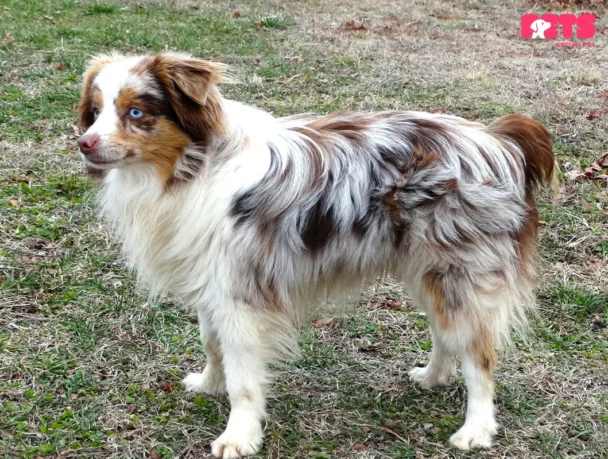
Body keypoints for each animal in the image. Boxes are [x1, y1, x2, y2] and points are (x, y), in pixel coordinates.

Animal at [77, 52, 556, 458]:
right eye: (96, 112)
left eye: (136, 113)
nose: (83, 143)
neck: (194, 166)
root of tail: (500, 142)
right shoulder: (213, 283)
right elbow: (212, 344)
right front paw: (209, 383)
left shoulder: (242, 295)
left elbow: (243, 378)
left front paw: (239, 436)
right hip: (426, 270)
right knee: (444, 333)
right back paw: (431, 377)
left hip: (461, 273)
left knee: (479, 356)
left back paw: (476, 430)